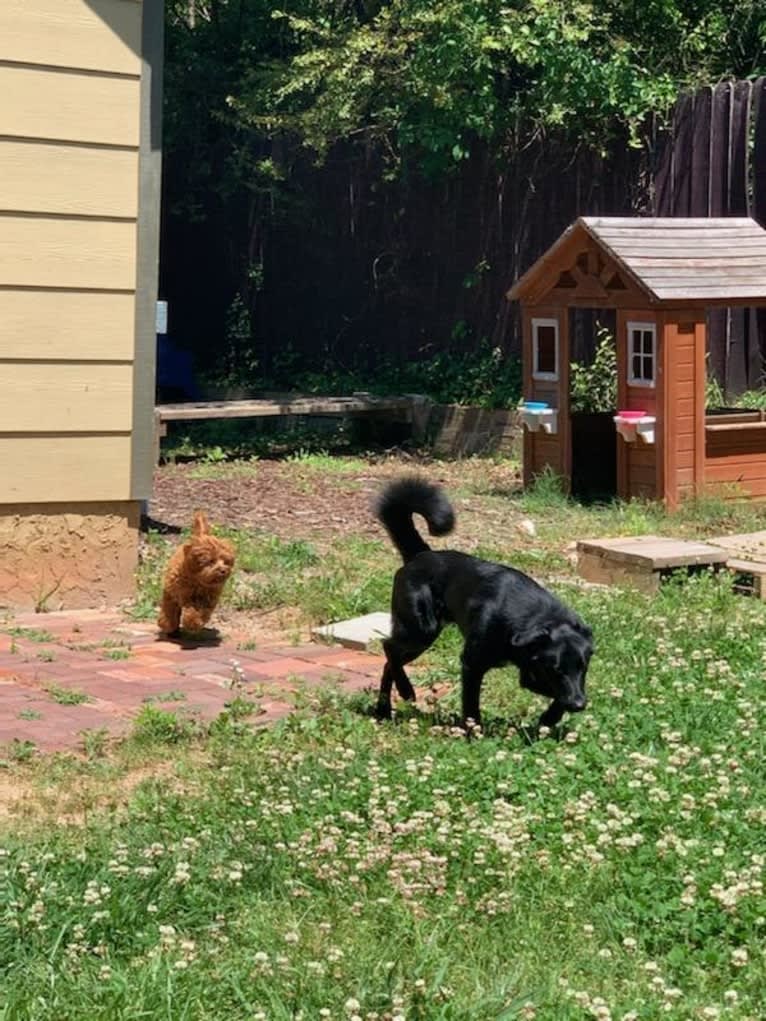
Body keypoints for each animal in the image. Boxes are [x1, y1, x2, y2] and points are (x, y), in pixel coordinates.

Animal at [375, 475, 596, 726]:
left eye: (583, 668)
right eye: (557, 670)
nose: (579, 705)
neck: (533, 618)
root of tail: (420, 555)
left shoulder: (531, 672)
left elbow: (554, 693)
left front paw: (549, 718)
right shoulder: (472, 663)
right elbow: (471, 705)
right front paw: (473, 730)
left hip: (421, 639)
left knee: (389, 662)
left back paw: (384, 710)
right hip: (419, 630)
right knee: (388, 647)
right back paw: (404, 691)